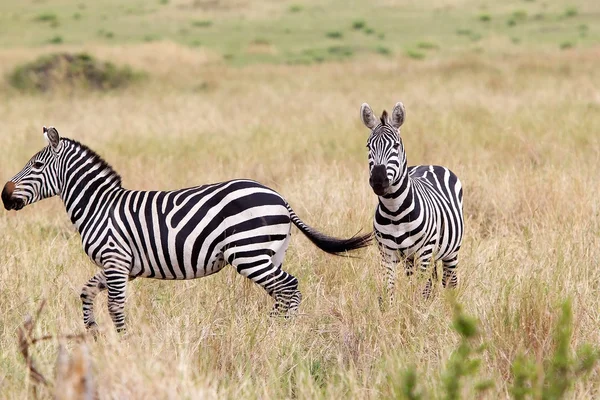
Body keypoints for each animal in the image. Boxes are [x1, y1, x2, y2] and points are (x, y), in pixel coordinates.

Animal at [3, 127, 370, 332]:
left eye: (36, 165)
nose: (4, 196)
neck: (99, 206)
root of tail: (279, 197)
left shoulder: (116, 260)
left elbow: (115, 306)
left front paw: (124, 344)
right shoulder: (120, 266)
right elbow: (86, 292)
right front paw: (93, 333)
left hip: (249, 253)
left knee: (289, 287)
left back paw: (278, 334)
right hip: (270, 253)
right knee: (282, 292)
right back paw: (275, 331)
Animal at [358, 103, 466, 304]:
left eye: (396, 145)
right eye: (368, 146)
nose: (378, 180)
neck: (394, 211)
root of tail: (430, 164)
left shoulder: (424, 252)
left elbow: (420, 290)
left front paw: (417, 310)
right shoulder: (387, 254)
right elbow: (390, 290)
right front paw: (395, 311)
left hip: (450, 251)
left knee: (449, 281)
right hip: (412, 258)